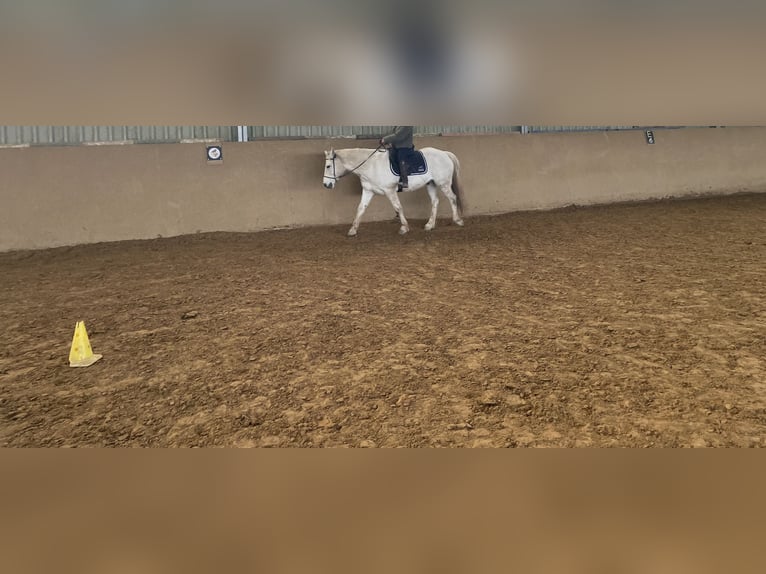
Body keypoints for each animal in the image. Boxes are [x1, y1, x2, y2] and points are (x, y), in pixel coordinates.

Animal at [322, 146, 465, 237]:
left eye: (328, 166)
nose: (326, 184)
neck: (371, 165)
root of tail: (444, 153)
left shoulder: (389, 190)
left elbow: (398, 207)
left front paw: (404, 228)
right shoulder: (368, 191)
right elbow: (361, 208)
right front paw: (353, 230)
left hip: (444, 184)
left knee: (452, 198)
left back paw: (457, 220)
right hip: (431, 184)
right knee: (435, 201)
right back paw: (430, 225)